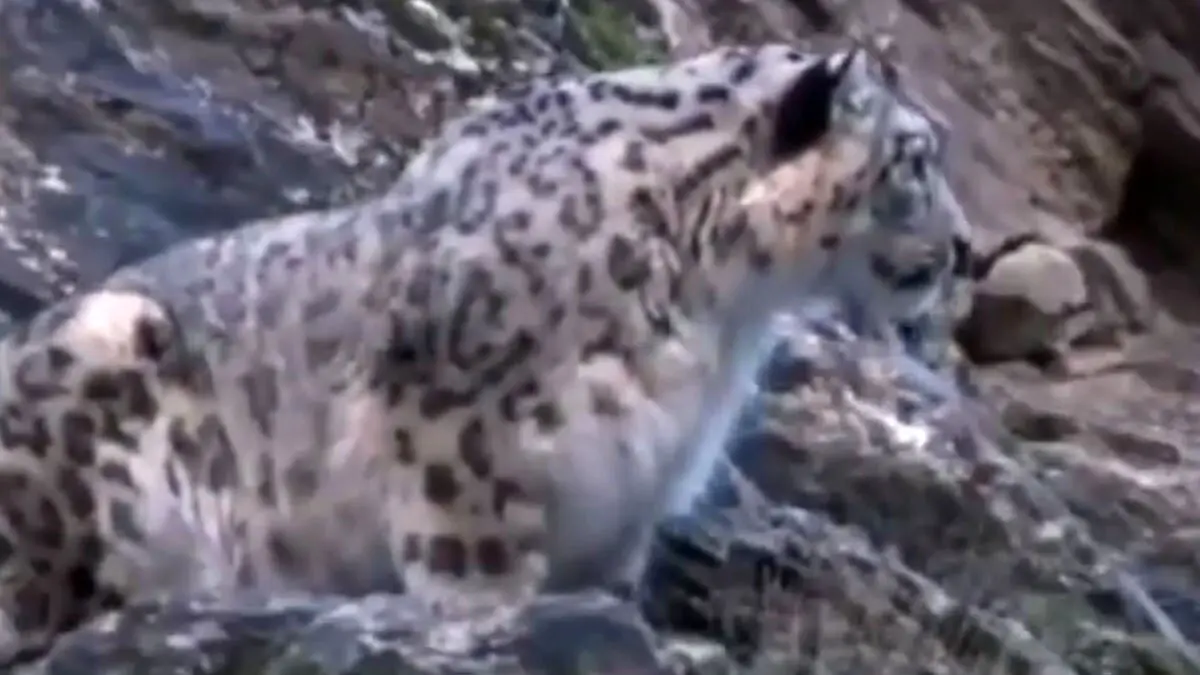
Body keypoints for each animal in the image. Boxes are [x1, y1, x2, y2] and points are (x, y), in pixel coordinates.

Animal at [0, 37, 959, 663]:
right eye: (914, 157)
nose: (965, 247)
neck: (721, 315)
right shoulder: (461, 441)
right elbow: (477, 576)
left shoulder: (626, 513)